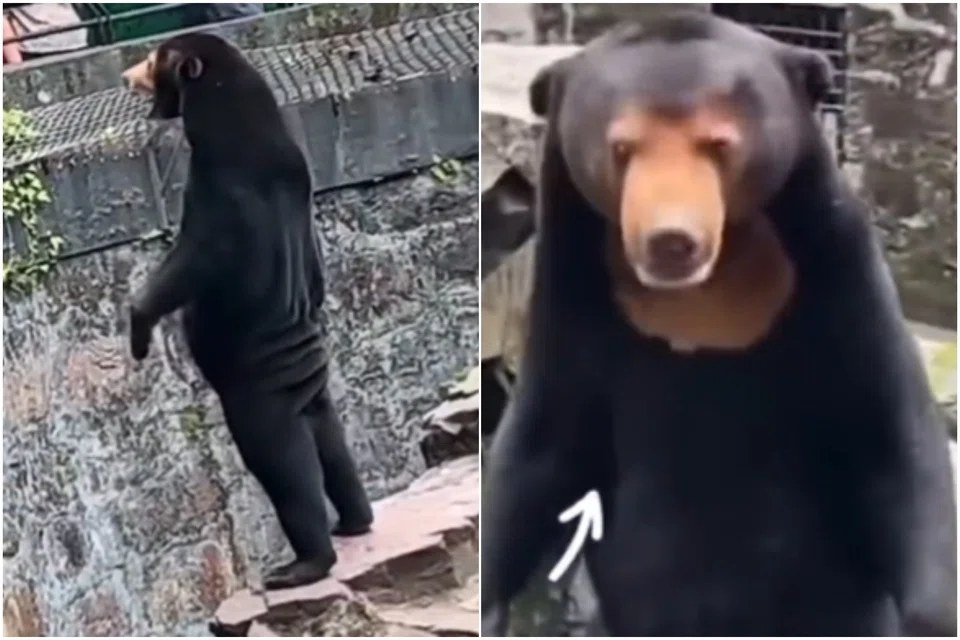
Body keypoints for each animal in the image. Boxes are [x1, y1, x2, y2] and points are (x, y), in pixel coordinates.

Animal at [121, 32, 374, 590]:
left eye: (153, 59)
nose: (127, 75)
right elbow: (315, 269)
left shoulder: (216, 190)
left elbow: (188, 264)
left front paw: (139, 330)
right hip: (313, 393)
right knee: (333, 444)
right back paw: (355, 520)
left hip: (258, 396)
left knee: (284, 466)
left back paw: (303, 564)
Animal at [481, 12, 957, 637]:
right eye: (621, 148)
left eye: (718, 145)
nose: (671, 240)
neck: (704, 295)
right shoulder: (572, 291)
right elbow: (540, 452)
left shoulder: (837, 273)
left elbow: (891, 445)